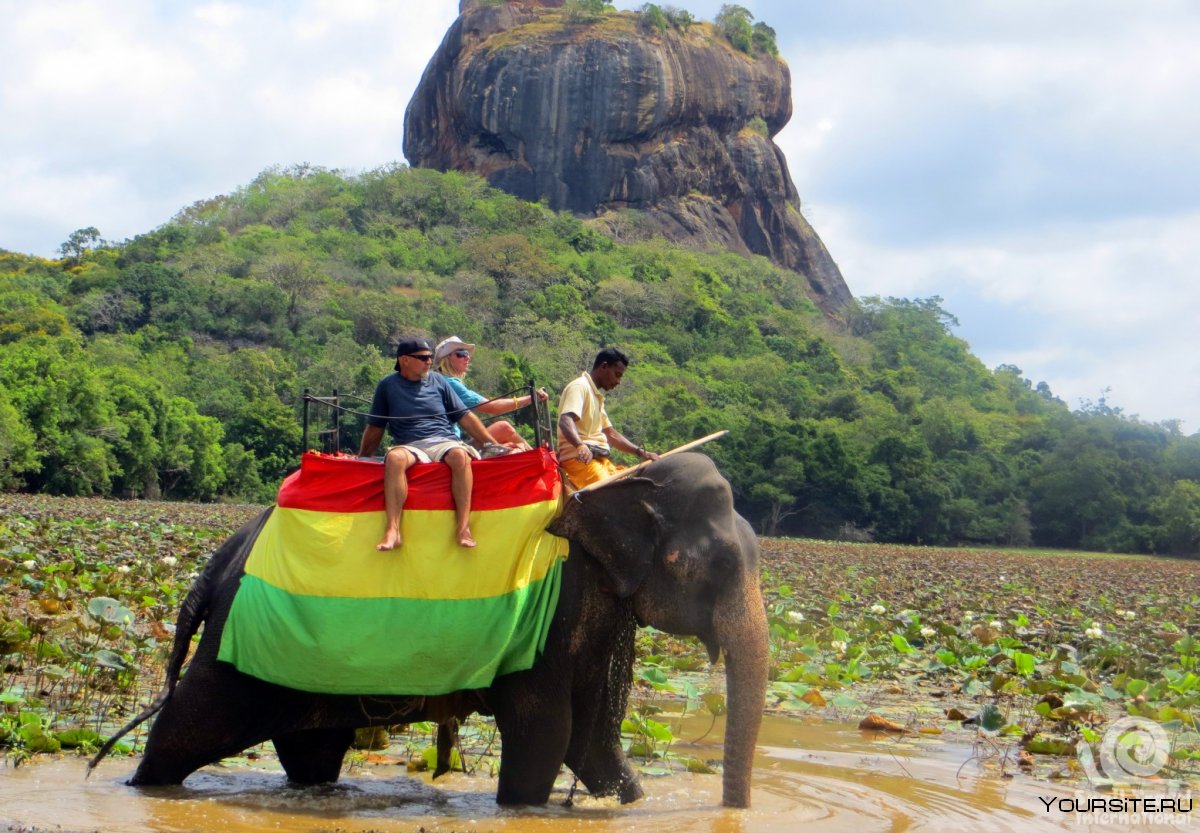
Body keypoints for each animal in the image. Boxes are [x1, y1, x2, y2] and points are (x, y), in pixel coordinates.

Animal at [91, 453, 768, 811]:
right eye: (708, 566)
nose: (731, 810)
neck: (613, 486)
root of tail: (221, 556)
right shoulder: (556, 608)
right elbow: (546, 732)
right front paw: (523, 808)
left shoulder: (596, 608)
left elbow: (593, 741)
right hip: (235, 651)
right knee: (185, 727)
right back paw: (141, 789)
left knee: (313, 752)